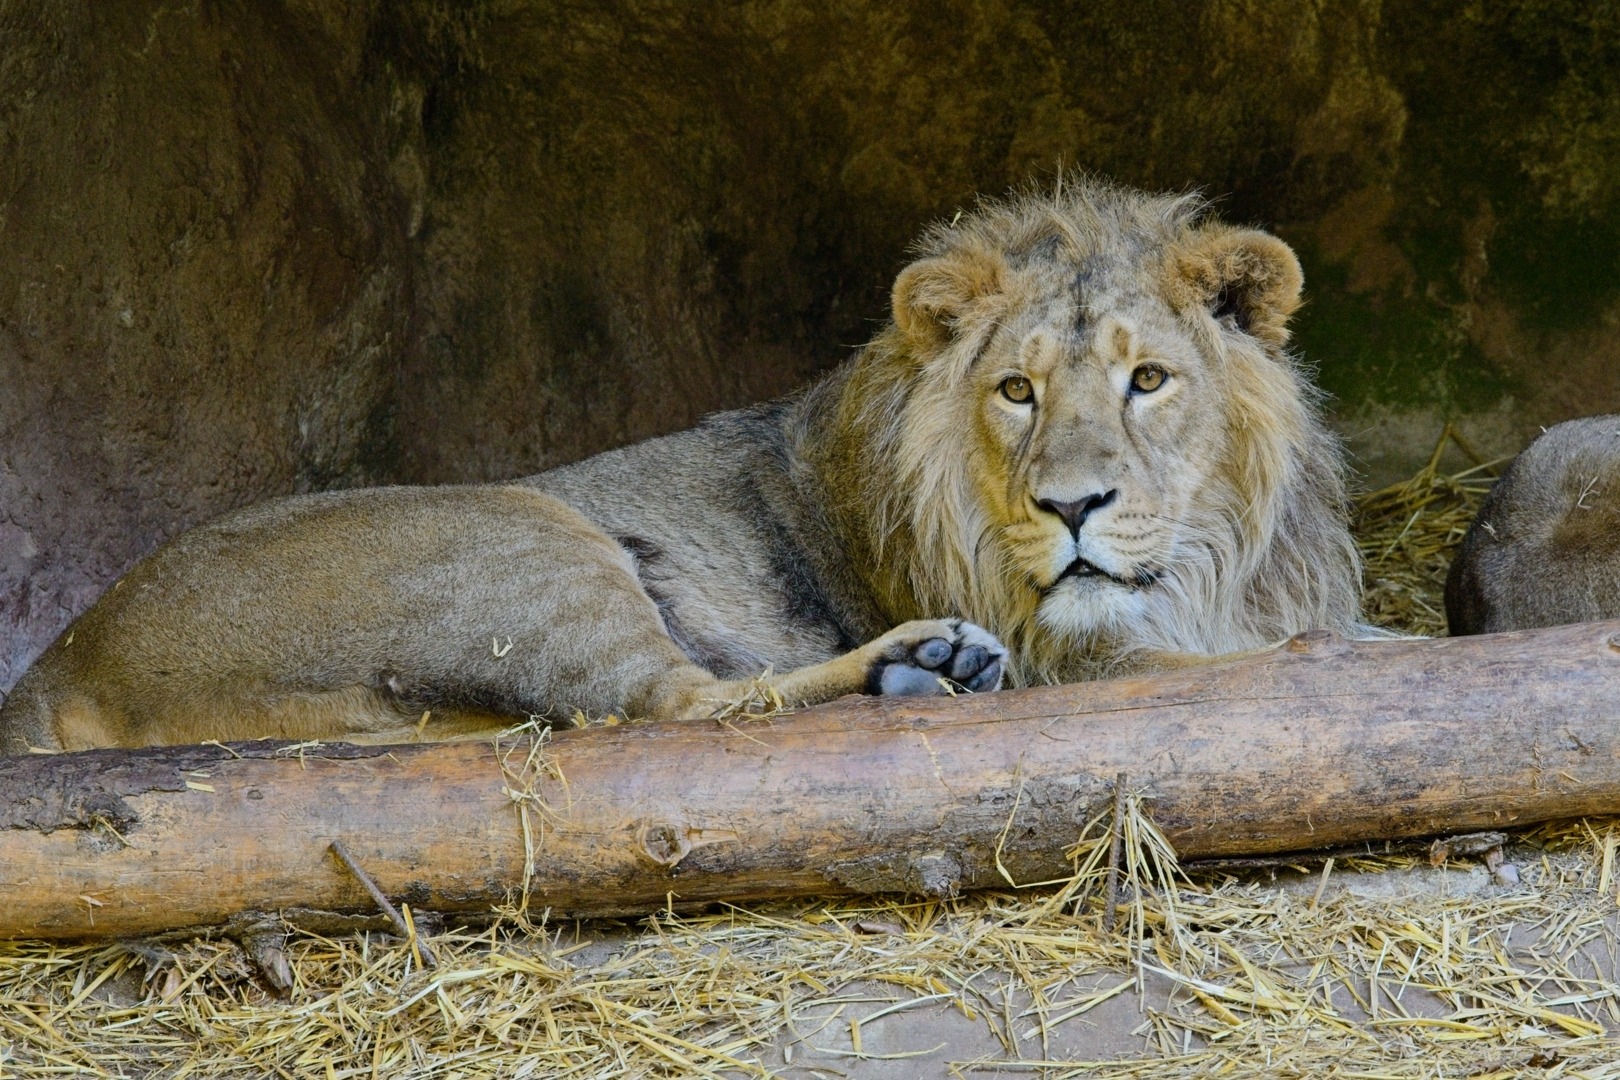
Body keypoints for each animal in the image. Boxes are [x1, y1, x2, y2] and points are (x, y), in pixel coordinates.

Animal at [0, 178, 1365, 753]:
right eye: (1016, 392)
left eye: (1150, 381)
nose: (1071, 506)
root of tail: (63, 662)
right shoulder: (1094, 656)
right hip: (528, 542)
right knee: (672, 708)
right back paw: (918, 664)